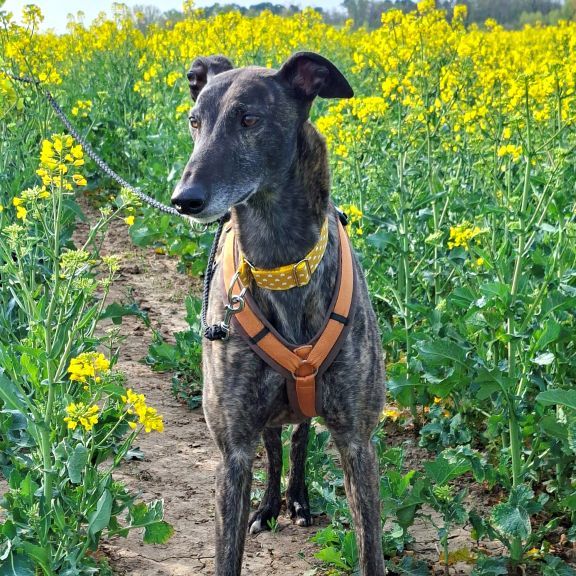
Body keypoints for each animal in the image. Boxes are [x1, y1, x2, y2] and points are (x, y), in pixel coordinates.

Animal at [171, 52, 386, 576]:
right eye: (194, 121)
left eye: (250, 120)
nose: (184, 200)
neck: (281, 267)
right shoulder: (232, 451)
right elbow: (227, 553)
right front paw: (265, 507)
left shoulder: (358, 441)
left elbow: (371, 549)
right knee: (274, 444)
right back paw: (270, 506)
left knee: (301, 435)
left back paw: (299, 499)